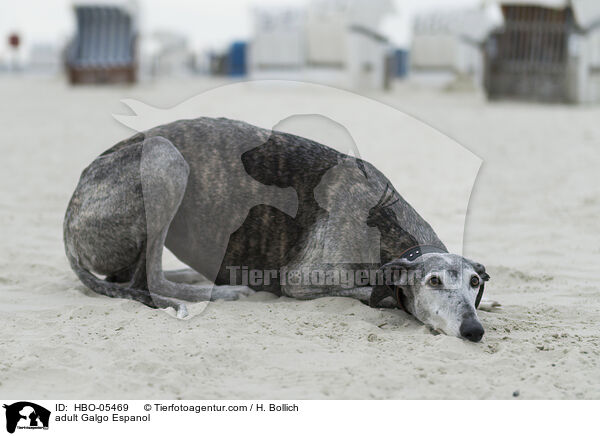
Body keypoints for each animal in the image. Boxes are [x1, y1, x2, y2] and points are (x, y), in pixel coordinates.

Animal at [63, 118, 490, 340]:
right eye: (433, 281)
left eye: (474, 283)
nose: (474, 330)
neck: (382, 220)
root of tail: (70, 213)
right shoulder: (301, 280)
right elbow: (374, 294)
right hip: (164, 157)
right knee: (147, 281)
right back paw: (221, 291)